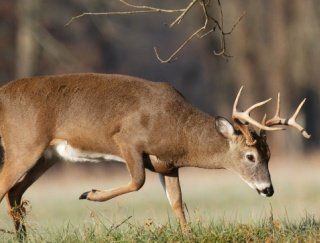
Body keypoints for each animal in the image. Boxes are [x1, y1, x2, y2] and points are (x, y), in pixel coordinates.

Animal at [0, 73, 308, 235]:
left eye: (269, 155)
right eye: (250, 156)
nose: (268, 189)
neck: (178, 132)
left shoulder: (168, 166)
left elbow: (177, 202)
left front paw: (188, 235)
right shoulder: (127, 140)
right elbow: (138, 182)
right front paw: (89, 193)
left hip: (46, 157)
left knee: (15, 193)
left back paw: (22, 236)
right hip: (23, 145)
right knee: (6, 186)